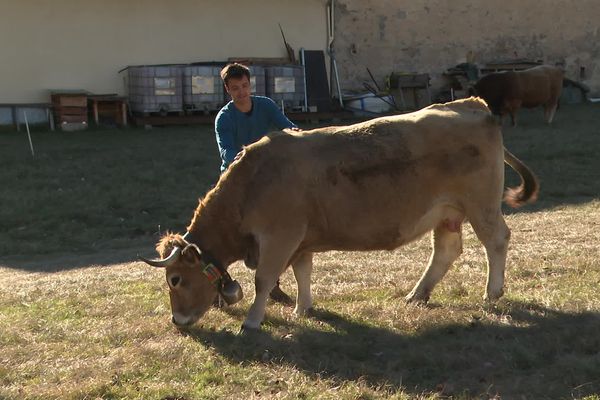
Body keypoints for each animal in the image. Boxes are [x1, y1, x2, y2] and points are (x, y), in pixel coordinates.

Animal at [141, 97, 540, 332]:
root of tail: (472, 105)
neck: (254, 181)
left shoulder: (279, 237)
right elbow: (302, 273)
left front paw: (253, 321)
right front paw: (302, 309)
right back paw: (417, 294)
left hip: (481, 206)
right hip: (447, 213)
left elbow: (264, 280)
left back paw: (492, 292)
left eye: (175, 279)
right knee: (446, 251)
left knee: (496, 240)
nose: (177, 320)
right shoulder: (300, 241)